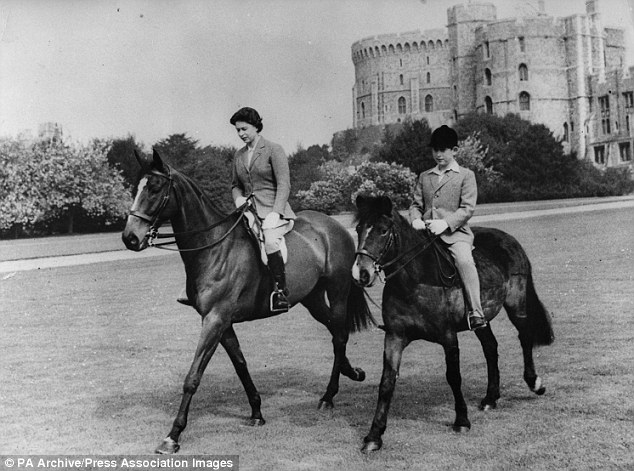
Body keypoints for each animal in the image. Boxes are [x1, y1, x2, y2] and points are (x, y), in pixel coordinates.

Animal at [121, 151, 372, 454]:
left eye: (155, 188)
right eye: (136, 188)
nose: (130, 237)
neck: (214, 247)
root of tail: (335, 226)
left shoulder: (214, 320)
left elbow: (193, 377)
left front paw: (173, 435)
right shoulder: (222, 322)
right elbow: (240, 364)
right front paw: (256, 412)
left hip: (337, 292)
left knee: (339, 335)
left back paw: (329, 396)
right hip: (311, 299)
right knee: (335, 331)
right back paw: (351, 372)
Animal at [350, 195, 552, 454]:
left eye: (383, 230)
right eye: (358, 229)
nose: (361, 274)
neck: (415, 280)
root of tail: (509, 239)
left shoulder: (448, 337)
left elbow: (454, 377)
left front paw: (462, 421)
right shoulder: (394, 337)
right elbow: (386, 383)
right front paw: (374, 436)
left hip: (516, 304)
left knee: (524, 337)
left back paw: (534, 383)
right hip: (481, 318)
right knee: (491, 348)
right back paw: (490, 398)